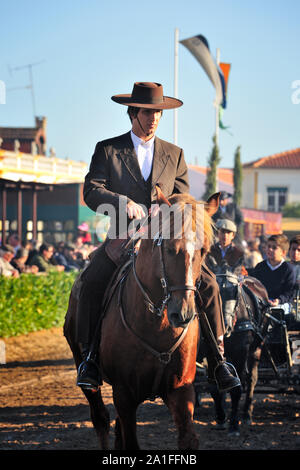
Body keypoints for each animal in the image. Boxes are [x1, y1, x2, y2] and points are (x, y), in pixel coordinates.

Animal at [195, 260, 300, 436]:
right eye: (212, 290)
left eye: (235, 292)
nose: (225, 327)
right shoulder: (209, 350)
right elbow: (213, 386)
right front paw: (221, 418)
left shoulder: (241, 351)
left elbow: (238, 386)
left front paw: (233, 425)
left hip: (256, 347)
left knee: (251, 379)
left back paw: (246, 414)